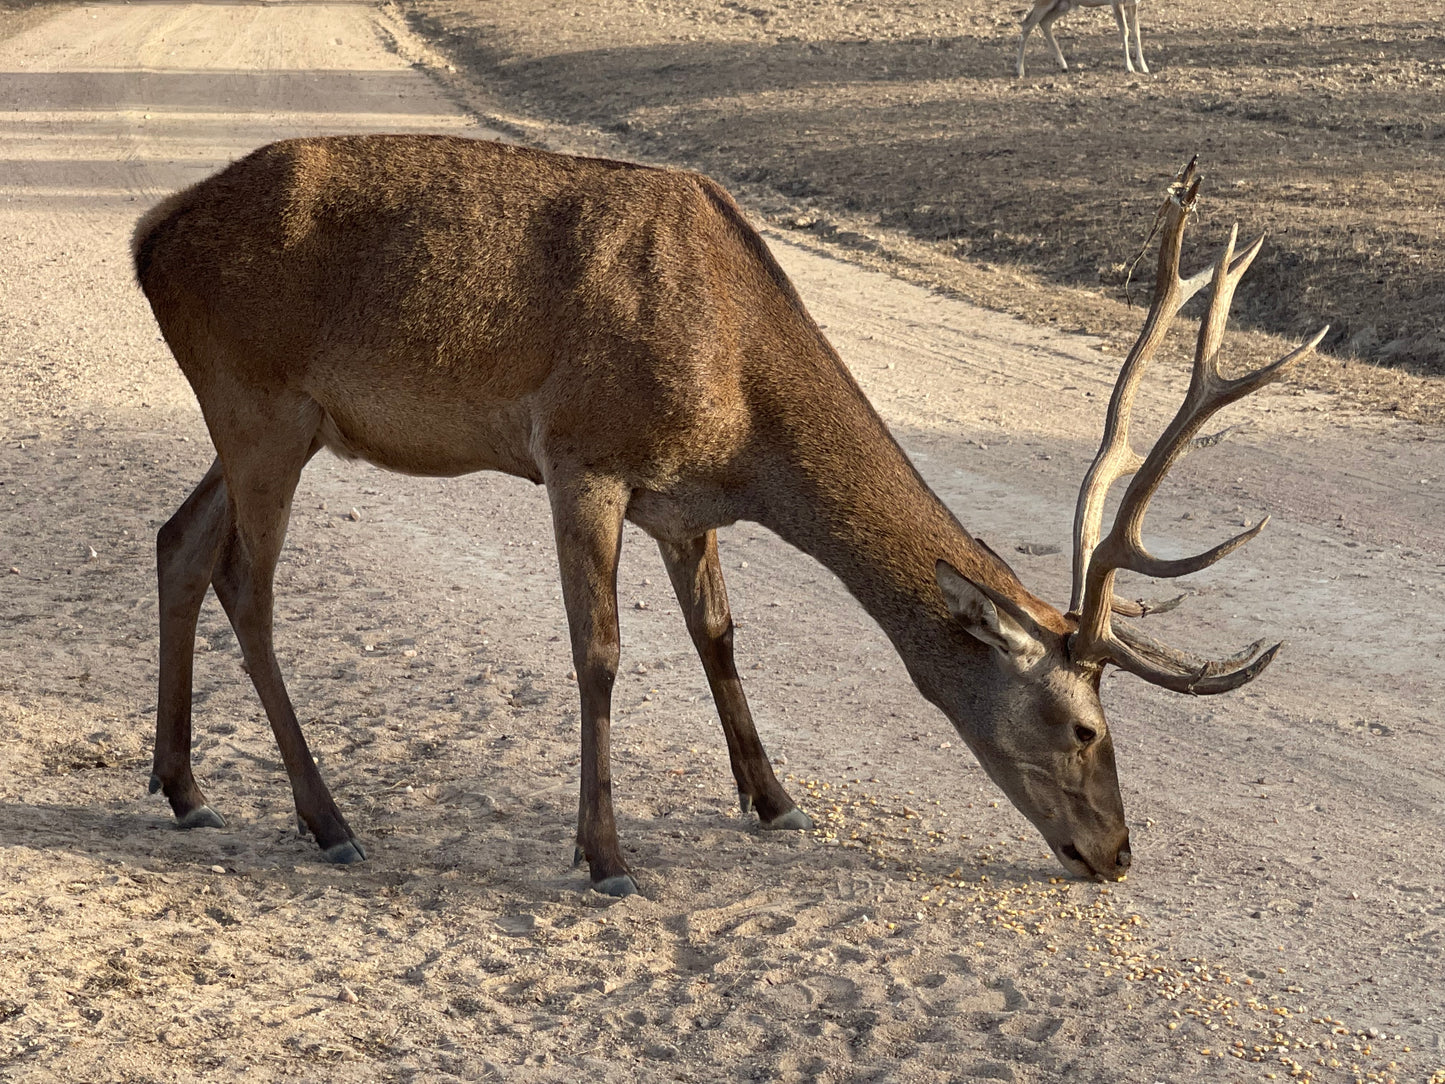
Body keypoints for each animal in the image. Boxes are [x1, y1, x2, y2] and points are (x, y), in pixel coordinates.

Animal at [132, 142, 1323, 901]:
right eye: (1084, 728)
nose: (1115, 854)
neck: (743, 411)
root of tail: (147, 235)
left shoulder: (682, 502)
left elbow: (715, 636)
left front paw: (773, 798)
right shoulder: (581, 455)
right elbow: (601, 654)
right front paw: (605, 856)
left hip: (271, 419)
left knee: (177, 540)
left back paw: (184, 787)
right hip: (258, 399)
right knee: (247, 584)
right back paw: (327, 819)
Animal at [1017, 0, 1150, 77]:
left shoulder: (1133, 3)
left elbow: (1136, 32)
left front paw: (1144, 67)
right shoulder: (1116, 2)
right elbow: (1125, 31)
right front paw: (1129, 67)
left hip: (1063, 4)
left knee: (1045, 22)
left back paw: (1064, 66)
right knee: (1027, 23)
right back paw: (1020, 71)